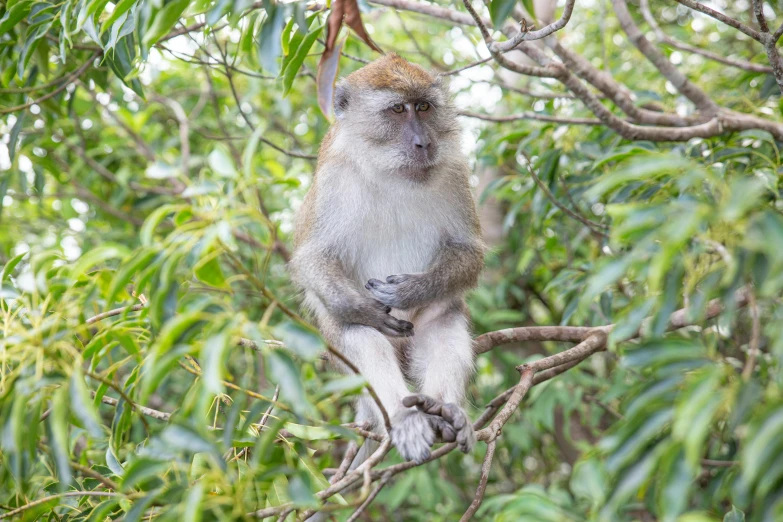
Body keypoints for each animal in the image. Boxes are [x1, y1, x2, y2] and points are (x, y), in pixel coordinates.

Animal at [290, 52, 484, 462]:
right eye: (397, 109)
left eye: (423, 107)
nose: (423, 142)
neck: (392, 171)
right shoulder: (333, 178)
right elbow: (313, 258)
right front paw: (362, 308)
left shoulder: (455, 170)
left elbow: (469, 251)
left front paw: (410, 290)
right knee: (359, 335)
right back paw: (403, 416)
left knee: (445, 324)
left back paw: (444, 412)